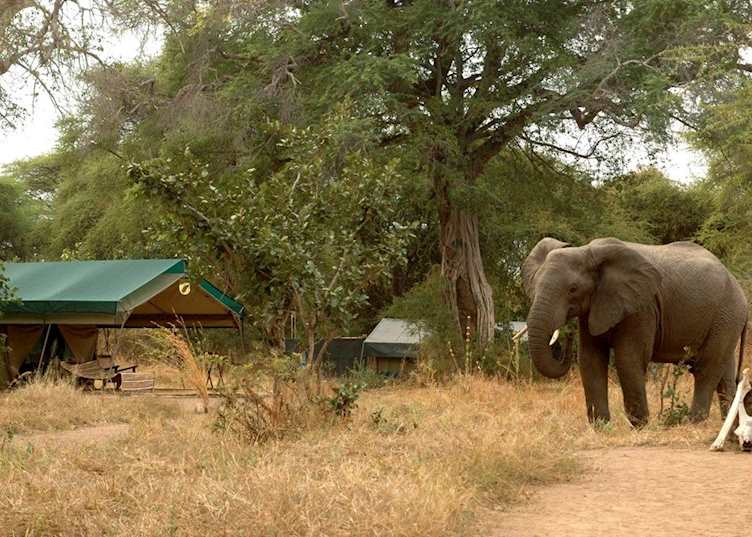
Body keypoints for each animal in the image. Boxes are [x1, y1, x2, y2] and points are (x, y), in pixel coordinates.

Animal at [522, 237, 748, 427]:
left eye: (573, 289)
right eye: (534, 285)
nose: (567, 332)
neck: (587, 251)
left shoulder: (641, 308)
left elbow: (628, 359)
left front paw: (640, 426)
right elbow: (590, 359)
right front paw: (601, 427)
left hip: (727, 314)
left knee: (706, 368)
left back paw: (693, 423)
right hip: (726, 319)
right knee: (724, 371)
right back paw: (729, 425)